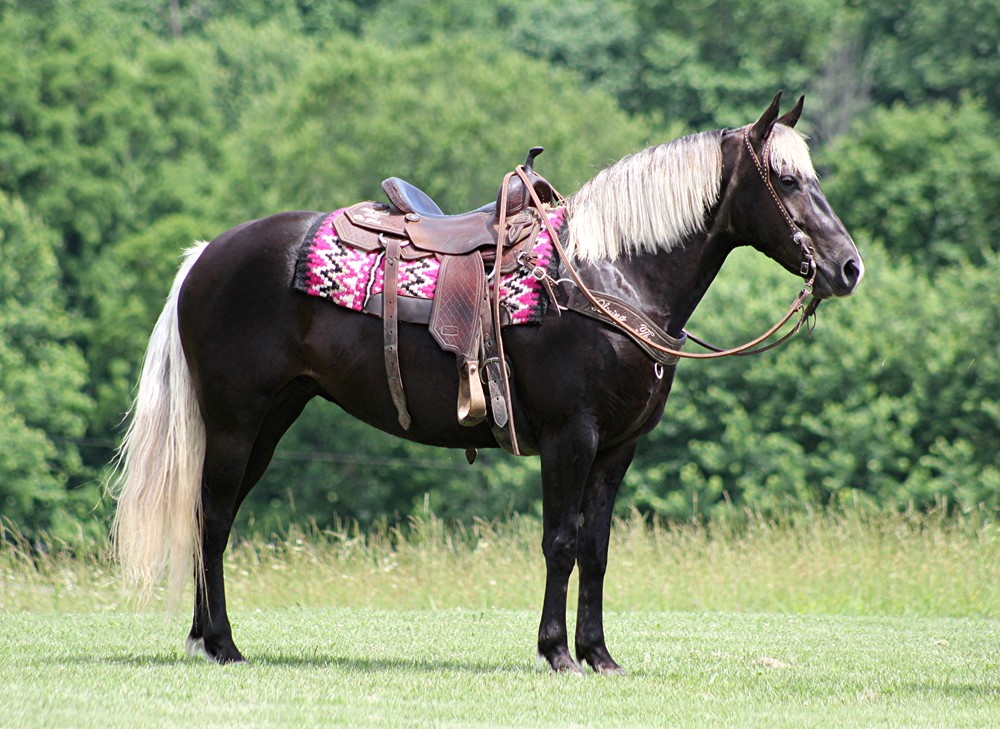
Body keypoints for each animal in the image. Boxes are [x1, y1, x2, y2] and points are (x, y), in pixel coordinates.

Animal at [110, 93, 863, 674]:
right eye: (785, 180)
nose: (848, 267)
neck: (608, 277)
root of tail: (206, 255)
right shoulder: (571, 436)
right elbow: (560, 541)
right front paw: (556, 652)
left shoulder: (618, 448)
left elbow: (596, 548)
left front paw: (598, 653)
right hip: (236, 421)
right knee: (212, 519)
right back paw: (223, 643)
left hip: (270, 419)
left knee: (214, 517)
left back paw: (206, 638)